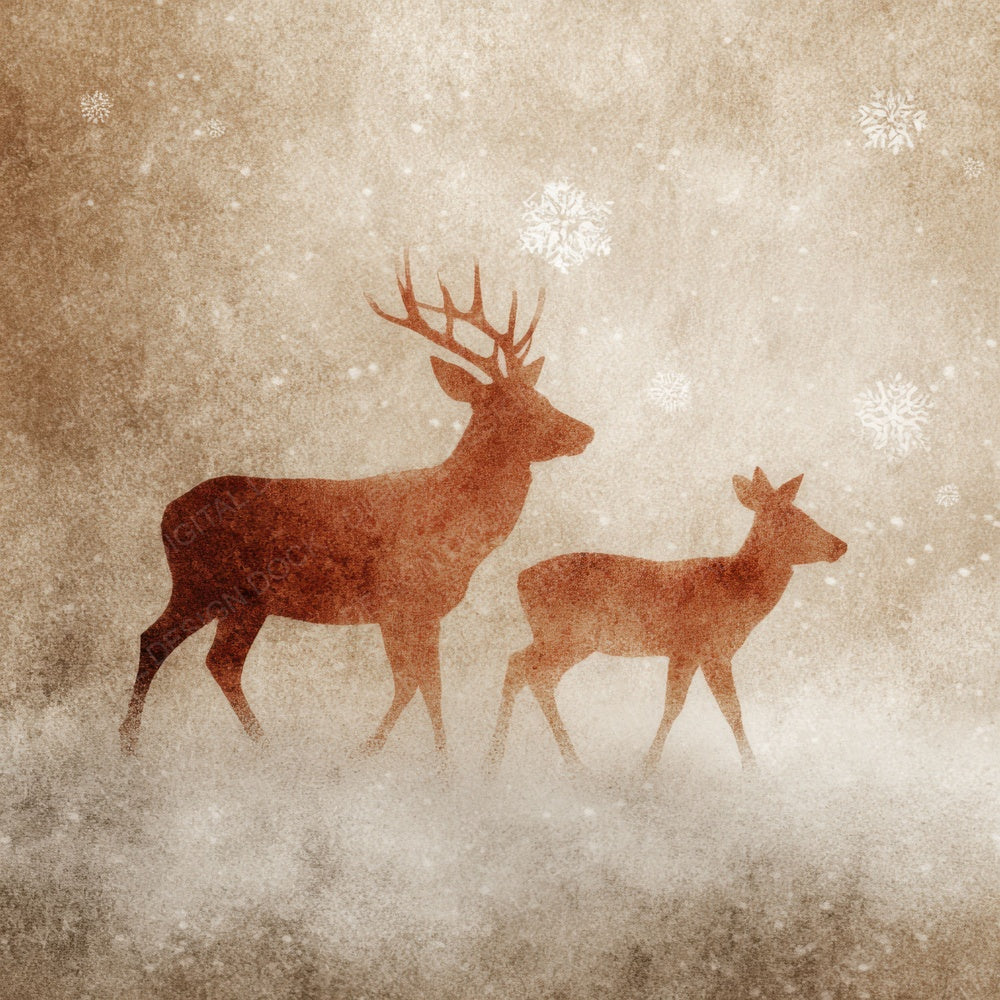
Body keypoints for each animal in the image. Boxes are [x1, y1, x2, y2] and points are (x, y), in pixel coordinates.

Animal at [119, 251, 594, 756]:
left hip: (246, 602)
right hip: (200, 584)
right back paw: (129, 744)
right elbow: (415, 684)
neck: (456, 527)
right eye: (515, 406)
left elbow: (424, 685)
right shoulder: (397, 600)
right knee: (156, 639)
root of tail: (166, 512)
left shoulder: (427, 612)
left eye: (541, 395)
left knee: (220, 661)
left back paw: (265, 747)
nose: (585, 431)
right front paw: (387, 757)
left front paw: (420, 758)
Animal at [487, 468, 847, 775]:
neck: (736, 590)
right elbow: (718, 707)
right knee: (525, 667)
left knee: (530, 671)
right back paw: (513, 760)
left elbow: (696, 706)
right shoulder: (702, 647)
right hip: (565, 634)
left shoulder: (695, 652)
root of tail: (520, 579)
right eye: (794, 519)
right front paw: (749, 770)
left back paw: (528, 759)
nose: (840, 545)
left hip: (569, 640)